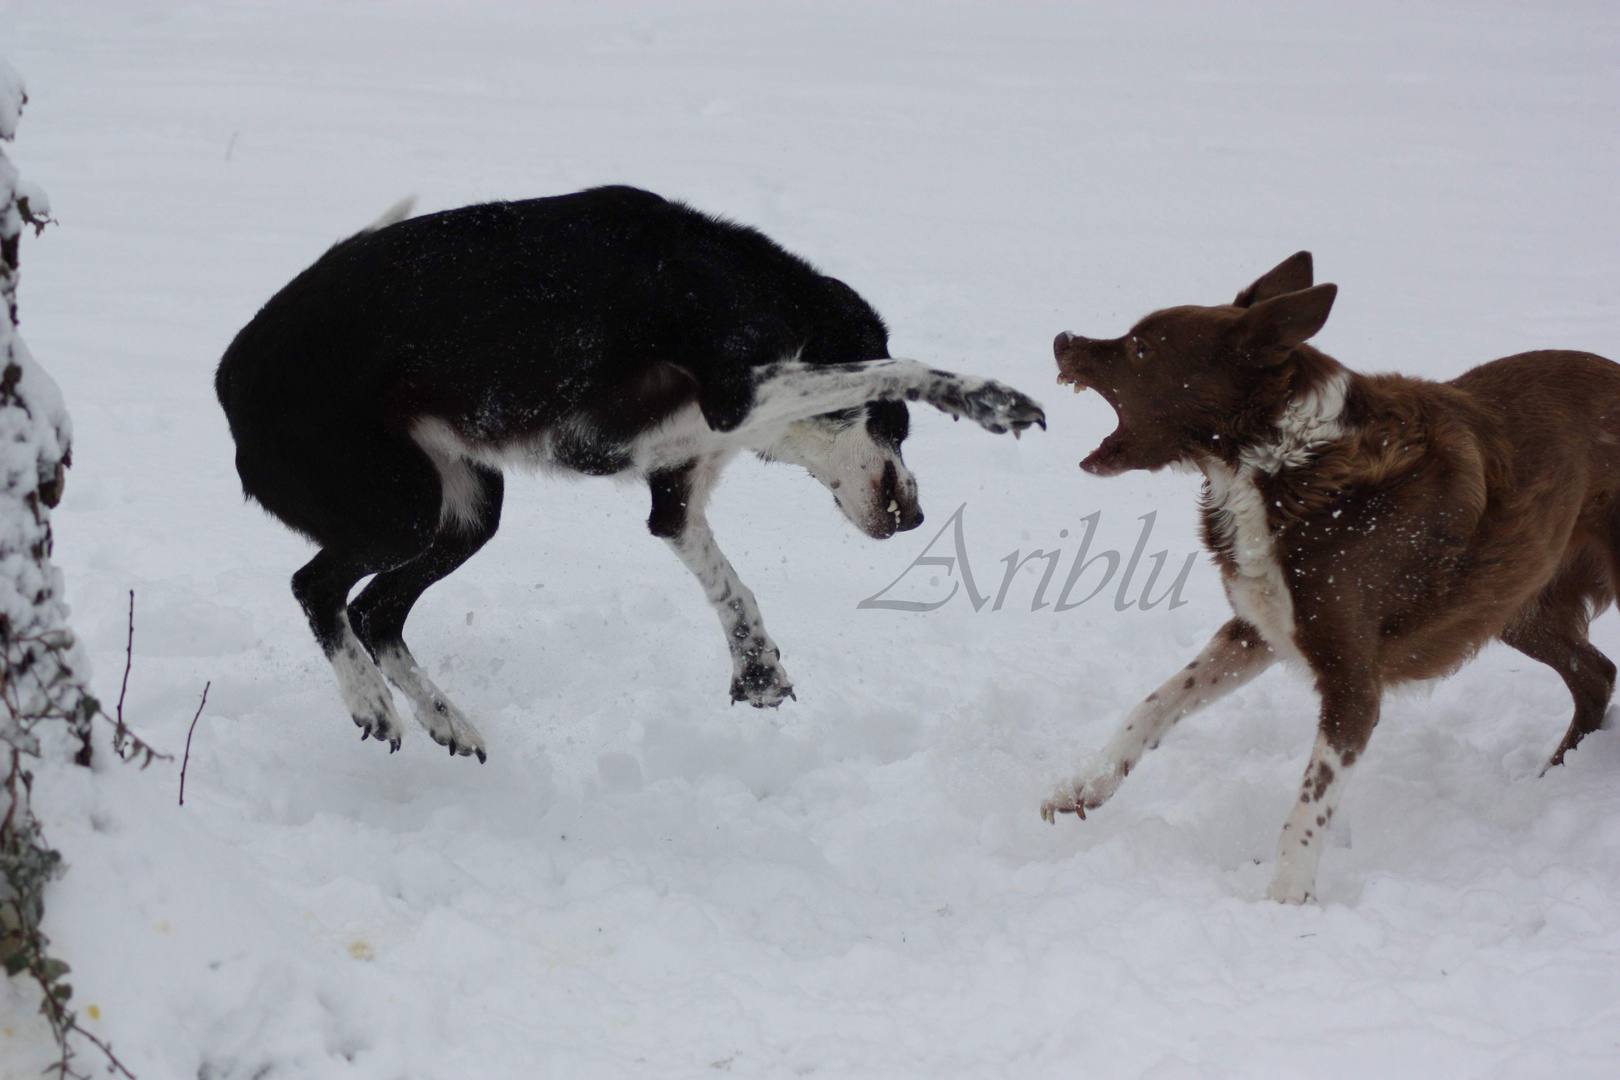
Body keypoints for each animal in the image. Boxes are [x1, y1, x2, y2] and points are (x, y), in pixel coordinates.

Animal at [215, 186, 1043, 761]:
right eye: (895, 429)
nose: (915, 515)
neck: (747, 287)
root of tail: (228, 371)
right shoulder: (739, 393)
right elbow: (896, 368)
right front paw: (986, 397)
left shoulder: (677, 492)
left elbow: (728, 585)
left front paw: (756, 667)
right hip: (400, 505)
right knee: (317, 589)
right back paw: (369, 702)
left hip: (468, 509)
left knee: (375, 612)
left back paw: (447, 720)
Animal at [1036, 254, 1620, 906]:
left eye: (1140, 348)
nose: (1062, 340)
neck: (1280, 465)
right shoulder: (1256, 628)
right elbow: (1157, 701)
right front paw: (1084, 784)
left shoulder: (1352, 681)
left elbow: (1307, 804)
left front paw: (1286, 899)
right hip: (1514, 601)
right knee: (1596, 673)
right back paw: (1552, 778)